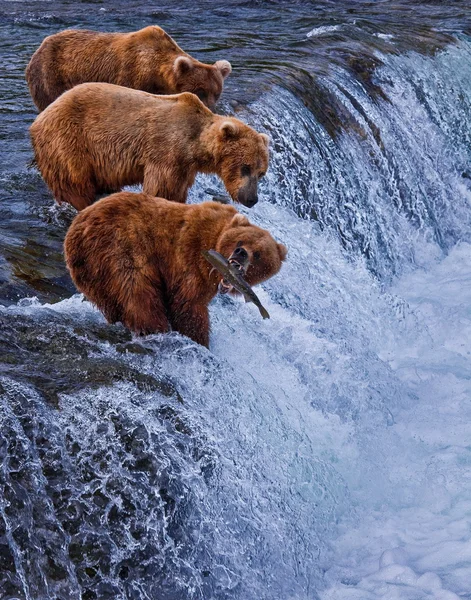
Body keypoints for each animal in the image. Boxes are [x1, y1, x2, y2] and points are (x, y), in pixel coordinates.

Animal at [25, 25, 232, 112]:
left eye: (217, 93)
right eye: (200, 91)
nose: (212, 109)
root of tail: (40, 47)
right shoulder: (130, 75)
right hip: (50, 75)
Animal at [30, 82, 270, 212]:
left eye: (262, 173)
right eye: (245, 167)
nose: (252, 199)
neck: (193, 145)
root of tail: (39, 119)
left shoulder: (185, 167)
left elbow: (178, 189)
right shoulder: (165, 153)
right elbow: (162, 188)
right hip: (69, 141)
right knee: (74, 181)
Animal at [63, 192, 288, 346]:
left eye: (258, 253)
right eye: (240, 240)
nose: (241, 252)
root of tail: (76, 228)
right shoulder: (189, 258)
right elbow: (188, 305)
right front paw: (200, 340)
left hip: (91, 271)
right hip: (119, 245)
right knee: (138, 293)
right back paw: (154, 329)